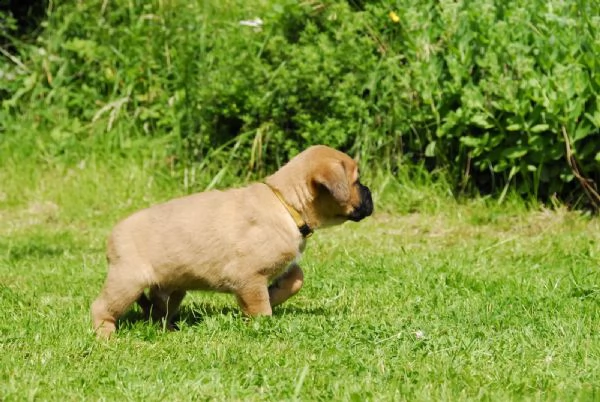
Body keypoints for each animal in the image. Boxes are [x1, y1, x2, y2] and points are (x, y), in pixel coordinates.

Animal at [91, 144, 372, 336]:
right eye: (356, 181)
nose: (371, 194)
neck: (286, 203)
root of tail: (112, 236)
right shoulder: (249, 277)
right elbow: (259, 305)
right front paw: (263, 325)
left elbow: (296, 277)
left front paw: (277, 292)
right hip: (127, 282)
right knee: (101, 307)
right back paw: (106, 334)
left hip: (172, 288)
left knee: (157, 311)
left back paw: (169, 328)